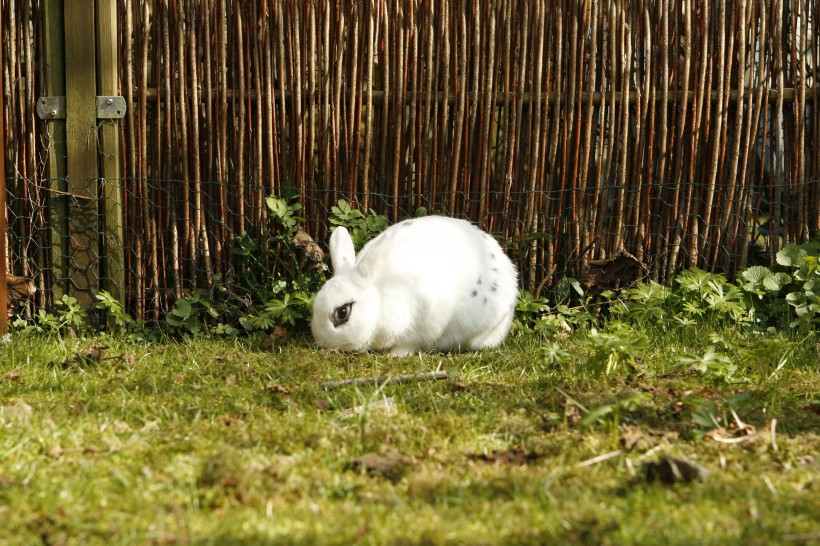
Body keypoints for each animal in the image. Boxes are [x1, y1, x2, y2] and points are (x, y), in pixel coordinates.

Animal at [310, 215, 516, 354]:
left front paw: (394, 355)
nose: (322, 342)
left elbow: (409, 344)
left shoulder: (425, 325)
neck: (380, 299)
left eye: (342, 312)